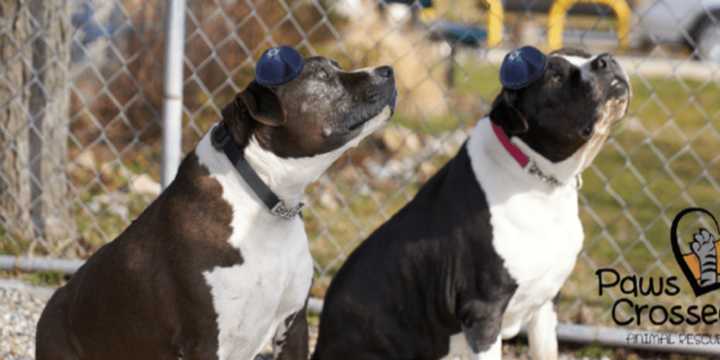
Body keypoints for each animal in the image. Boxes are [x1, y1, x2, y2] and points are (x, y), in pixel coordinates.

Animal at [316, 48, 632, 360]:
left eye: (585, 54)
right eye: (554, 76)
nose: (606, 60)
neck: (539, 181)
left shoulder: (545, 305)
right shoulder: (484, 314)